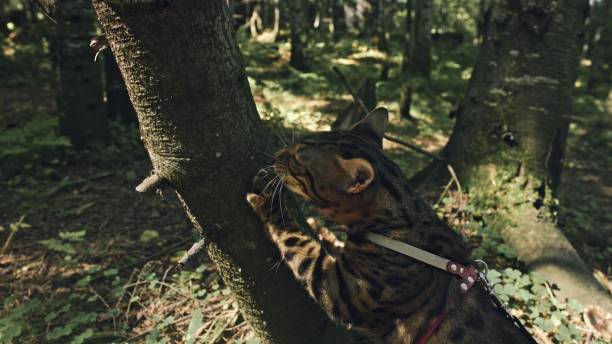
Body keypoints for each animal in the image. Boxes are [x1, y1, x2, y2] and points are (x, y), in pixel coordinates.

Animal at [246, 108, 532, 344]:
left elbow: (298, 242)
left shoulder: (337, 288)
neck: (396, 220)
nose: (277, 154)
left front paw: (267, 200)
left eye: (296, 161)